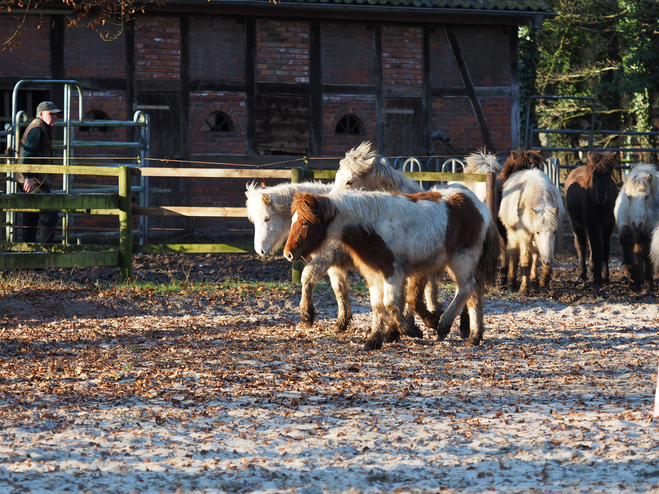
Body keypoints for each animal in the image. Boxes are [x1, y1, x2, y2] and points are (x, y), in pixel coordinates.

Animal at [245, 181, 356, 332]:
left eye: (267, 219)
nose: (260, 250)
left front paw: (307, 315)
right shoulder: (333, 263)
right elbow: (339, 288)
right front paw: (342, 322)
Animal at [564, 151, 620, 284]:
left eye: (608, 174)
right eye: (594, 174)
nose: (600, 197)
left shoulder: (608, 226)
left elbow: (605, 249)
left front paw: (605, 276)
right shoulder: (593, 225)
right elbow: (597, 249)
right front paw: (597, 278)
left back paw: (592, 268)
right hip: (576, 225)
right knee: (581, 245)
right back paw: (582, 273)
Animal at [612, 162, 659, 294]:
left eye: (647, 196)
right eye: (628, 196)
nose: (637, 224)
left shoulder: (649, 233)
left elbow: (648, 256)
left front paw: (648, 285)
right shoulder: (627, 226)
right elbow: (628, 243)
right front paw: (632, 275)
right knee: (638, 253)